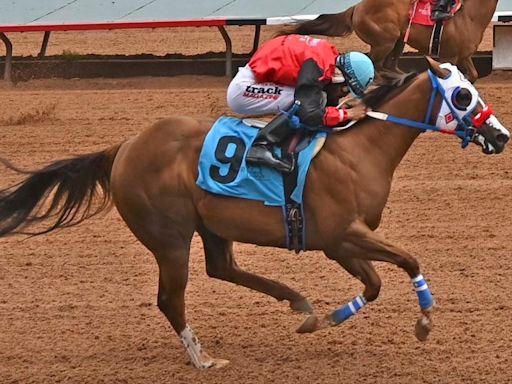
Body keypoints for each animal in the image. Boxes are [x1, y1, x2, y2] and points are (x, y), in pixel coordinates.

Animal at [0, 58, 508, 368]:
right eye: (463, 97)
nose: (500, 136)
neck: (359, 151)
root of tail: (123, 147)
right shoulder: (344, 234)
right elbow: (408, 260)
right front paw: (424, 322)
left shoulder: (339, 242)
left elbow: (375, 284)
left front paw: (326, 318)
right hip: (170, 237)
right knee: (171, 297)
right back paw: (202, 358)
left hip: (210, 226)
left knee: (222, 267)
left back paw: (298, 302)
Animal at [288, 0, 500, 82]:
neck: (470, 14)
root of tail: (356, 8)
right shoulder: (449, 56)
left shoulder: (464, 55)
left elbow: (473, 75)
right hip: (384, 42)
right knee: (376, 67)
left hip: (398, 40)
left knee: (387, 66)